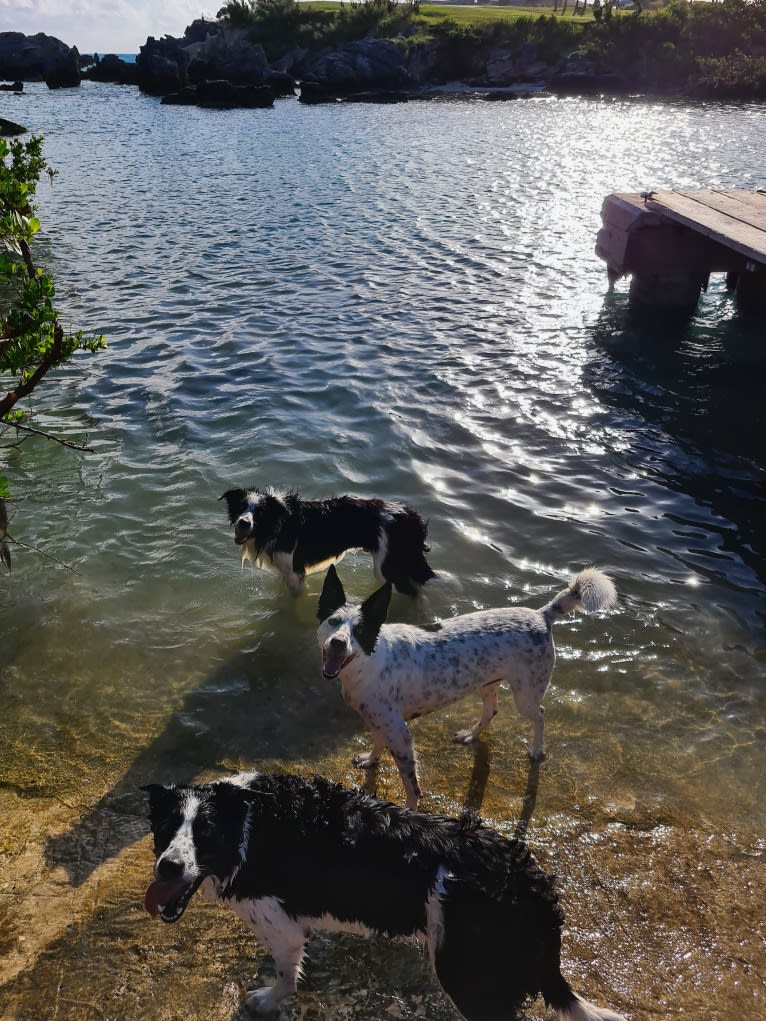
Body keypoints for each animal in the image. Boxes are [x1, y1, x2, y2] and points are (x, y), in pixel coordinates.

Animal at [144, 771, 629, 1021]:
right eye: (166, 828)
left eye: (205, 833)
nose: (168, 867)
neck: (247, 819)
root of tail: (529, 880)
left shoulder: (279, 924)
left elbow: (285, 974)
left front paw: (268, 1000)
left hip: (466, 973)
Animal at [221, 483, 437, 592]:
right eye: (241, 507)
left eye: (260, 512)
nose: (243, 523)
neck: (276, 523)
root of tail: (411, 517)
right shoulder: (286, 572)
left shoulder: (295, 573)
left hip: (388, 568)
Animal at [316, 563, 616, 808]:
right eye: (332, 622)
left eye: (360, 631)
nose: (338, 643)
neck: (369, 660)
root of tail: (542, 615)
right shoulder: (380, 720)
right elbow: (378, 745)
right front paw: (370, 760)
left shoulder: (400, 735)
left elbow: (412, 788)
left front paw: (409, 813)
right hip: (487, 683)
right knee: (491, 710)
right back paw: (471, 735)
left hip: (526, 695)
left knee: (540, 715)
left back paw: (536, 749)